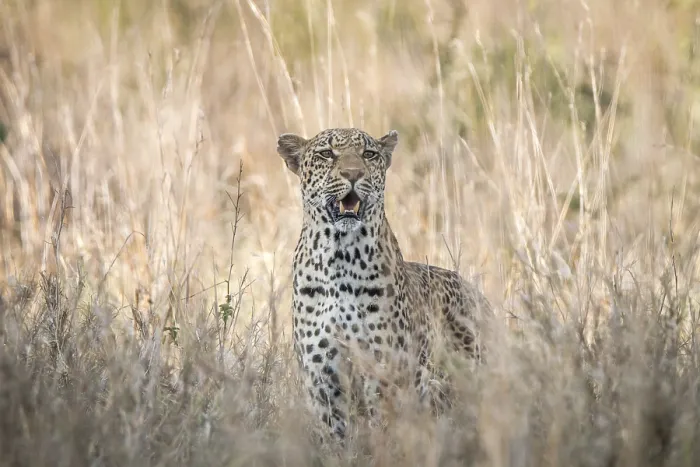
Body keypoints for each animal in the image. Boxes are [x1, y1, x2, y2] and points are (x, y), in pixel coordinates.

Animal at [276, 127, 492, 445]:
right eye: (326, 154)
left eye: (369, 154)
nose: (353, 174)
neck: (341, 257)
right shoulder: (323, 377)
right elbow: (335, 437)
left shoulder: (382, 369)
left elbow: (384, 430)